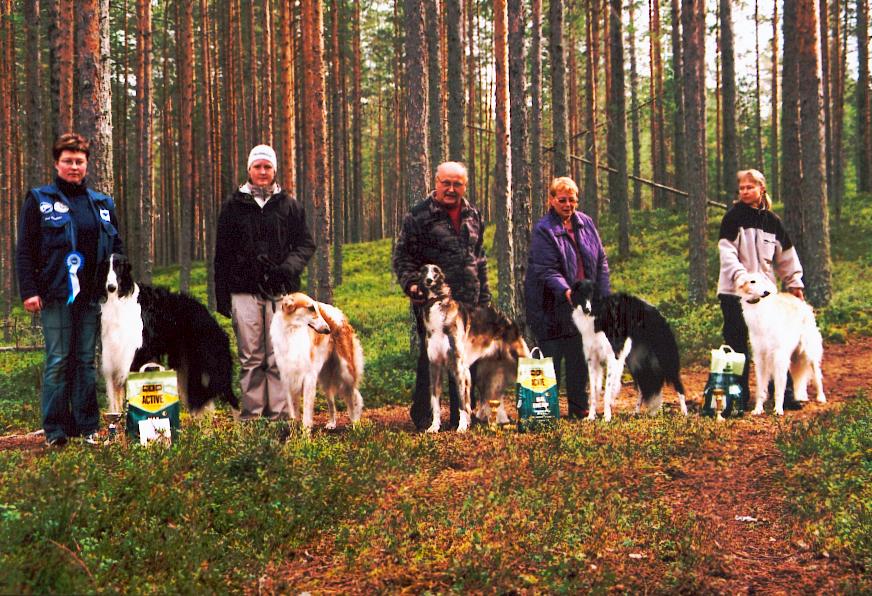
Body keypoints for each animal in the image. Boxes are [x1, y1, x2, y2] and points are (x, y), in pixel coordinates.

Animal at [97, 253, 239, 414]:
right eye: (106, 267)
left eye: (119, 266)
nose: (111, 287)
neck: (120, 301)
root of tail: (211, 318)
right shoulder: (113, 359)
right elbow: (115, 402)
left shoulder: (136, 355)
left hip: (210, 364)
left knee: (231, 398)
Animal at [270, 293, 364, 432]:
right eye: (310, 308)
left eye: (317, 308)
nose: (327, 330)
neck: (292, 332)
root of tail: (339, 313)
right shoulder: (288, 378)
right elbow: (294, 413)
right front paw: (294, 434)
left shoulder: (308, 377)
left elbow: (306, 413)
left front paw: (305, 435)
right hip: (325, 377)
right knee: (331, 402)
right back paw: (332, 423)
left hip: (346, 371)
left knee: (353, 397)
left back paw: (356, 424)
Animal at [418, 264, 530, 433]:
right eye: (424, 271)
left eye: (435, 272)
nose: (429, 280)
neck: (438, 305)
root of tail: (509, 320)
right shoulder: (435, 365)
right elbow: (435, 401)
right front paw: (434, 427)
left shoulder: (459, 366)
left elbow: (462, 403)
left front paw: (462, 426)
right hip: (488, 374)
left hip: (520, 359)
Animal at [570, 279, 688, 420]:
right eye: (581, 294)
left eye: (592, 294)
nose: (587, 309)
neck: (597, 314)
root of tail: (658, 313)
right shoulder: (592, 359)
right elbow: (594, 393)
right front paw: (591, 417)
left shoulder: (611, 356)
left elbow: (607, 392)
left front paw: (607, 417)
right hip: (635, 363)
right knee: (642, 389)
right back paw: (637, 412)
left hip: (665, 358)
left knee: (678, 386)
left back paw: (684, 412)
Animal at [737, 272, 825, 415]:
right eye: (752, 281)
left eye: (764, 280)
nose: (766, 292)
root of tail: (801, 302)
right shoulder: (760, 358)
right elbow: (761, 389)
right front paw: (758, 409)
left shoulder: (779, 356)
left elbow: (779, 389)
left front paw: (778, 409)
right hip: (796, 357)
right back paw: (801, 397)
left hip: (808, 352)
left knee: (817, 375)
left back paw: (821, 397)